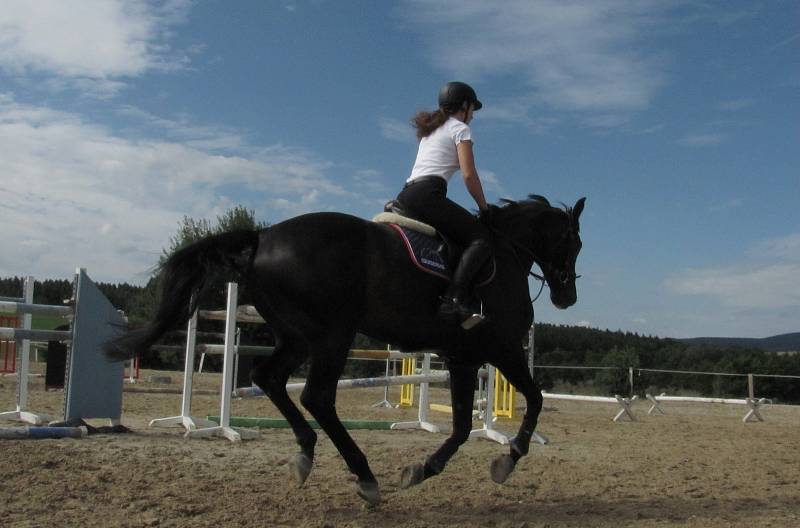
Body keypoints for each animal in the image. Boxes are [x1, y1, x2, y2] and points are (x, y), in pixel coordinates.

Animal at [106, 194, 580, 504]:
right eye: (573, 242)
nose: (566, 297)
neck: (506, 251)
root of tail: (263, 237)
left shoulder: (463, 358)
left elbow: (464, 426)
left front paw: (423, 469)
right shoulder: (502, 349)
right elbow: (533, 400)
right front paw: (508, 459)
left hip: (296, 337)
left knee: (268, 379)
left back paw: (306, 453)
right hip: (332, 335)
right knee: (317, 396)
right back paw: (364, 476)